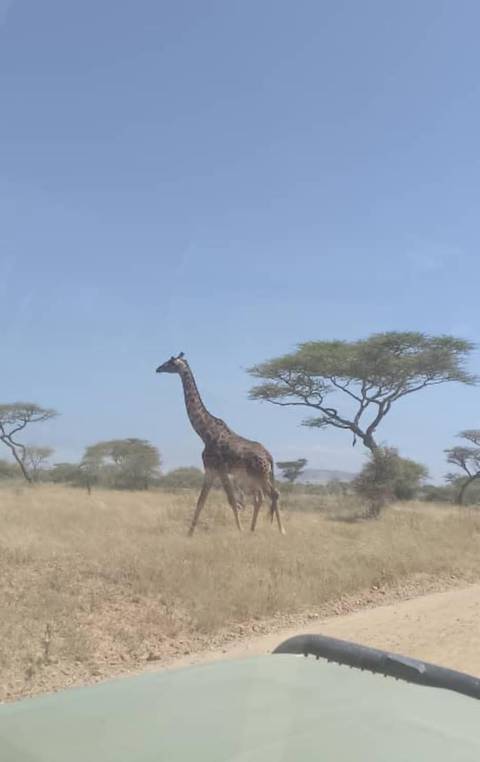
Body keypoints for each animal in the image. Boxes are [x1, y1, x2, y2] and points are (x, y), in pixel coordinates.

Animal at [156, 353, 285, 536]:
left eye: (170, 362)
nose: (158, 369)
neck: (205, 433)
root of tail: (269, 456)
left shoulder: (220, 469)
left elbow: (232, 500)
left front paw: (239, 530)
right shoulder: (210, 470)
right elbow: (201, 501)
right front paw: (189, 533)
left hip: (260, 475)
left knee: (273, 494)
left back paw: (281, 530)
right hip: (255, 476)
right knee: (262, 496)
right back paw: (255, 529)